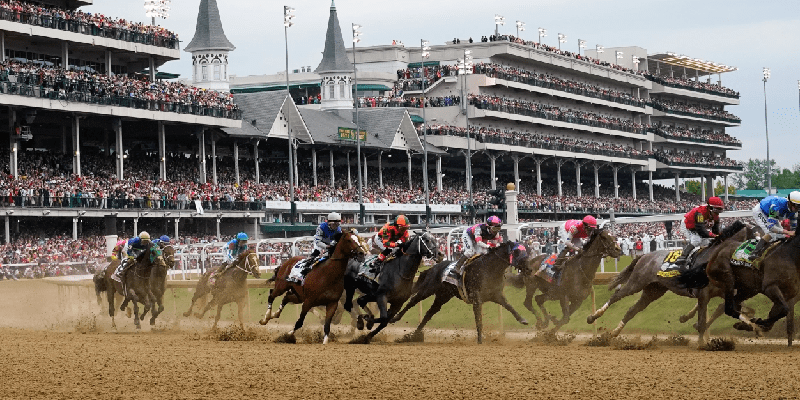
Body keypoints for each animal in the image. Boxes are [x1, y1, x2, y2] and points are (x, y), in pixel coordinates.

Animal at [392, 241, 536, 344]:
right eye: (516, 252)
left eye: (527, 252)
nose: (529, 269)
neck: (490, 268)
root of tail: (434, 267)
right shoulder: (476, 298)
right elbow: (479, 318)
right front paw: (480, 340)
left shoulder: (496, 294)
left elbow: (509, 306)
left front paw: (523, 320)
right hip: (428, 288)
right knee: (413, 301)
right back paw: (395, 318)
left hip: (443, 296)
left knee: (429, 313)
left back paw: (414, 336)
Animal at [584, 220, 752, 346]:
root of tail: (645, 256)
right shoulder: (703, 293)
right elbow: (703, 317)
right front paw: (701, 341)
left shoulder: (723, 290)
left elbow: (724, 308)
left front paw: (750, 322)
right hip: (637, 282)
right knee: (617, 295)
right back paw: (593, 317)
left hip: (654, 290)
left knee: (633, 309)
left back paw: (614, 332)